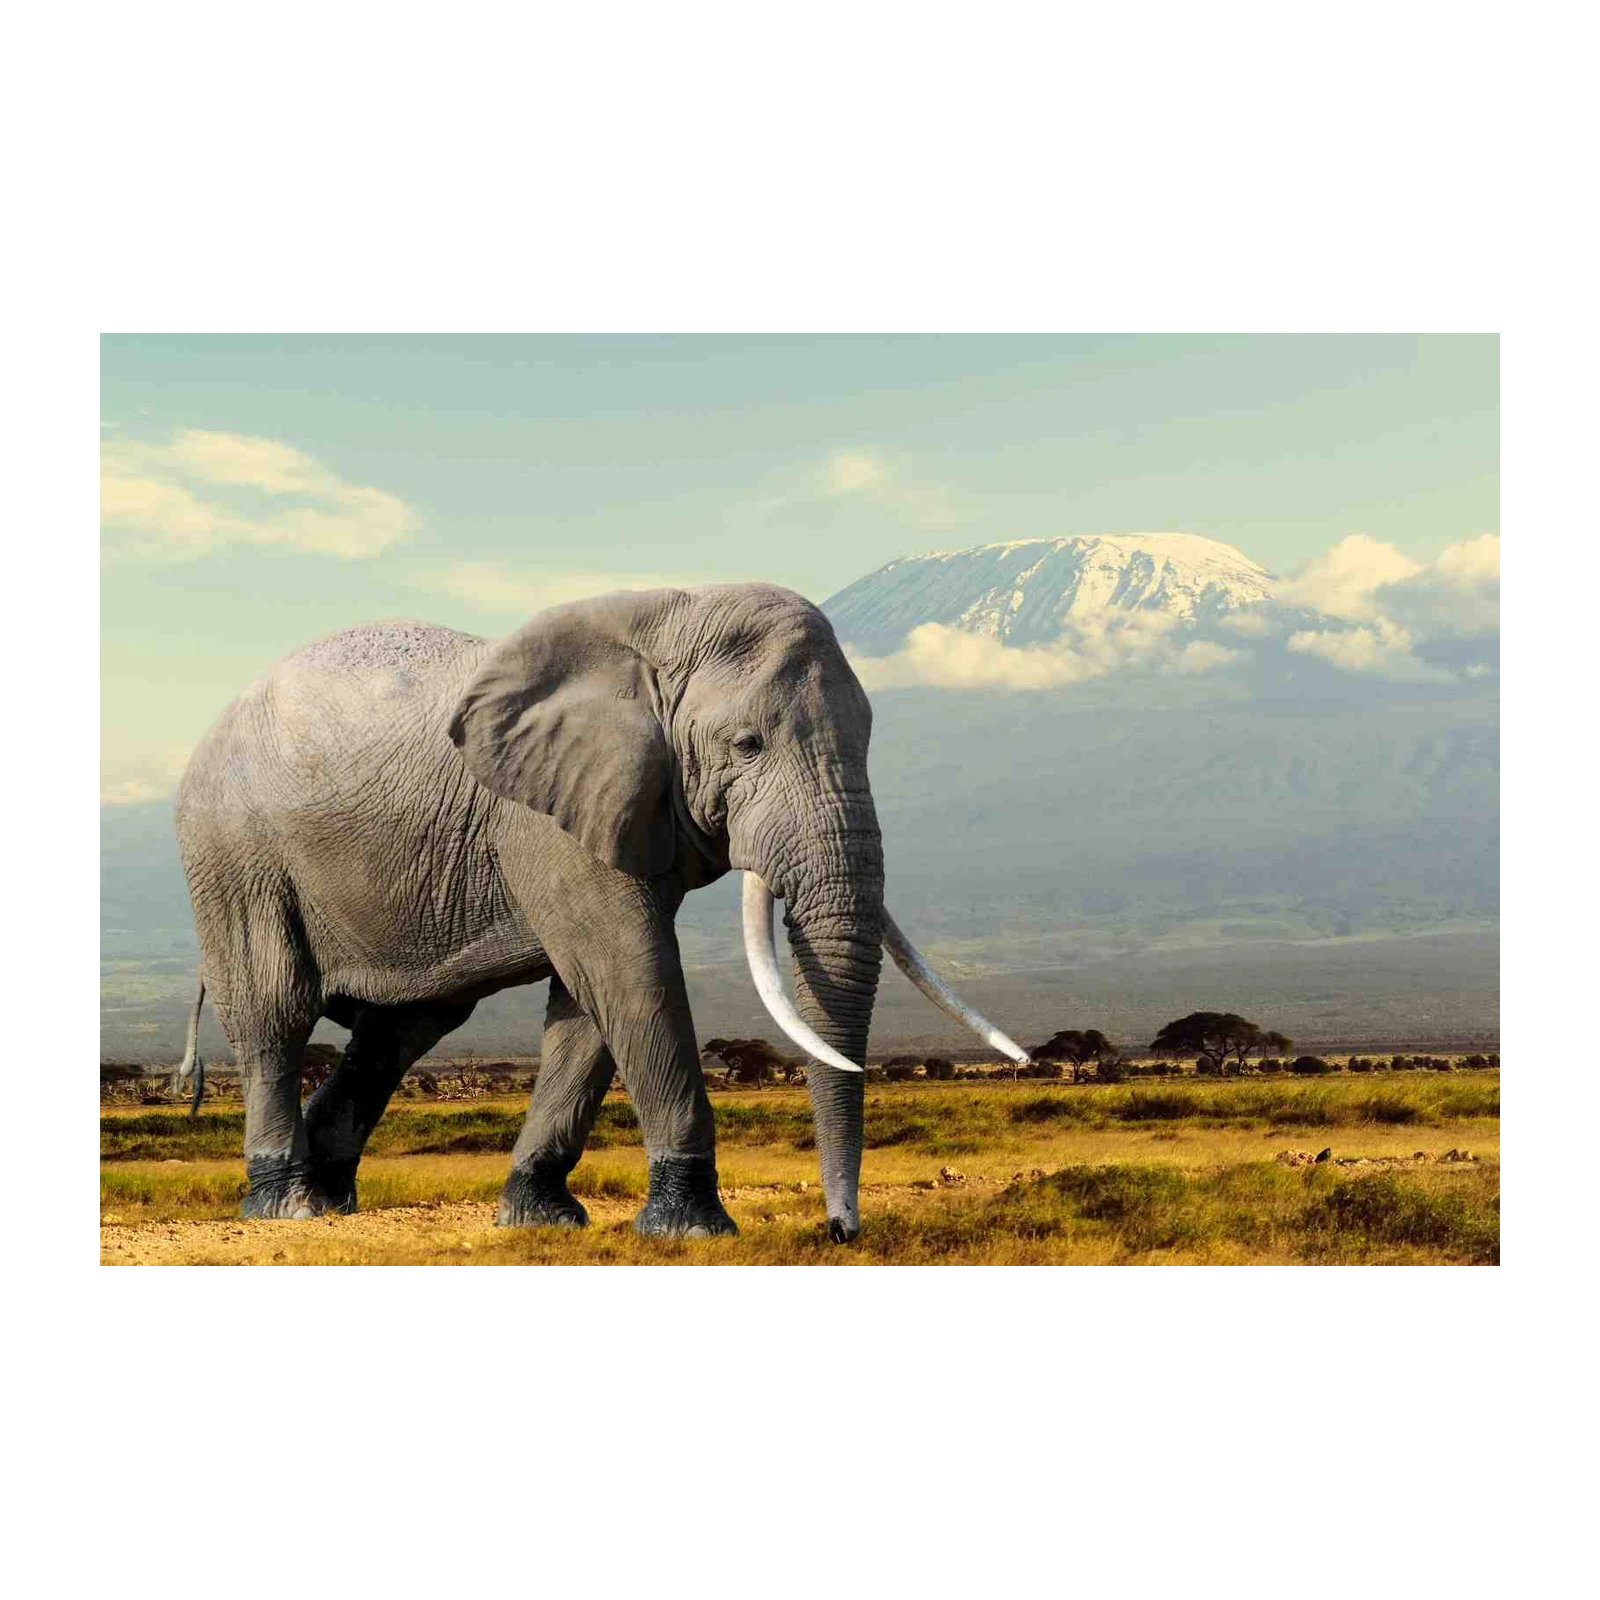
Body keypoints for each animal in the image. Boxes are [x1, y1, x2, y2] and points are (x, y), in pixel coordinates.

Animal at [172, 583, 1029, 1242]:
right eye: (747, 744)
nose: (840, 1230)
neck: (670, 618)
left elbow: (589, 1001)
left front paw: (539, 1218)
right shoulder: (546, 815)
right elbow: (629, 969)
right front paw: (692, 1230)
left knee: (404, 1028)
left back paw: (330, 1197)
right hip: (233, 852)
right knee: (277, 1011)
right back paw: (287, 1206)